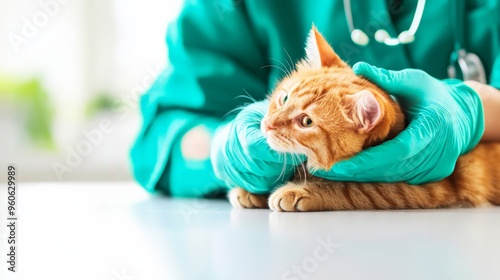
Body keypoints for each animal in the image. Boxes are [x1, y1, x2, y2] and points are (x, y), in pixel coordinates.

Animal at [229, 26, 500, 212]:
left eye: (306, 122)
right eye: (284, 98)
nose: (267, 124)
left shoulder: (424, 188)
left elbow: (352, 188)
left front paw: (300, 191)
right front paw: (251, 188)